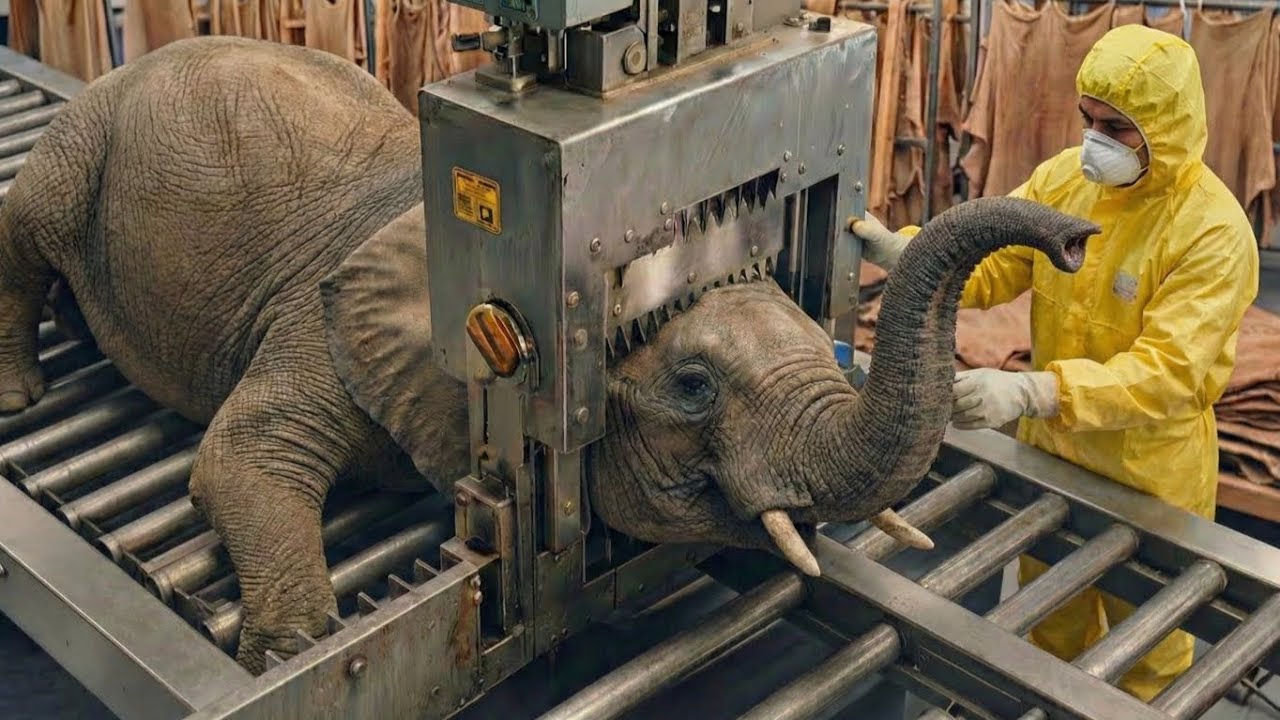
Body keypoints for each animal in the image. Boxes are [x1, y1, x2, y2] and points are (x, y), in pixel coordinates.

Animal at [0, 35, 1098, 673]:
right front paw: (300, 647)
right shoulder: (320, 329)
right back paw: (21, 394)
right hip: (80, 141)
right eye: (692, 386)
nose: (1076, 239)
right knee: (27, 226)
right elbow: (238, 462)